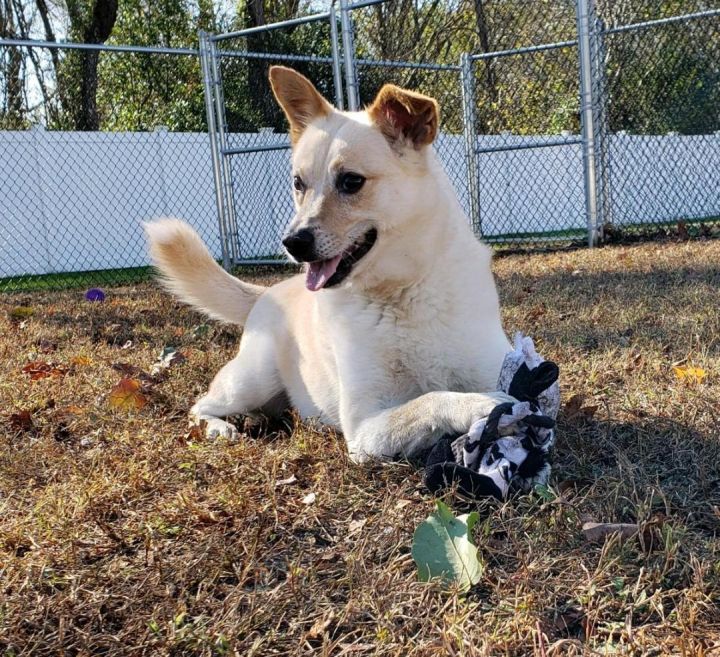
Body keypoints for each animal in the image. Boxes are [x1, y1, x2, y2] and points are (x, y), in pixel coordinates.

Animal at [146, 64, 516, 458]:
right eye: (298, 183)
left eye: (351, 181)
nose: (292, 243)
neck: (403, 292)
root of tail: (268, 292)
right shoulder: (364, 427)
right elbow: (431, 399)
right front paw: (481, 404)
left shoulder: (495, 364)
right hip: (252, 380)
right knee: (202, 404)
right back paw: (220, 427)